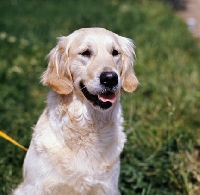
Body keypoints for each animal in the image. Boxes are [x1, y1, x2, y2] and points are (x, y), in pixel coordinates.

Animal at [13, 27, 138, 195]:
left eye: (115, 52)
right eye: (85, 53)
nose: (110, 78)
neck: (87, 126)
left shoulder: (106, 187)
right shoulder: (35, 187)